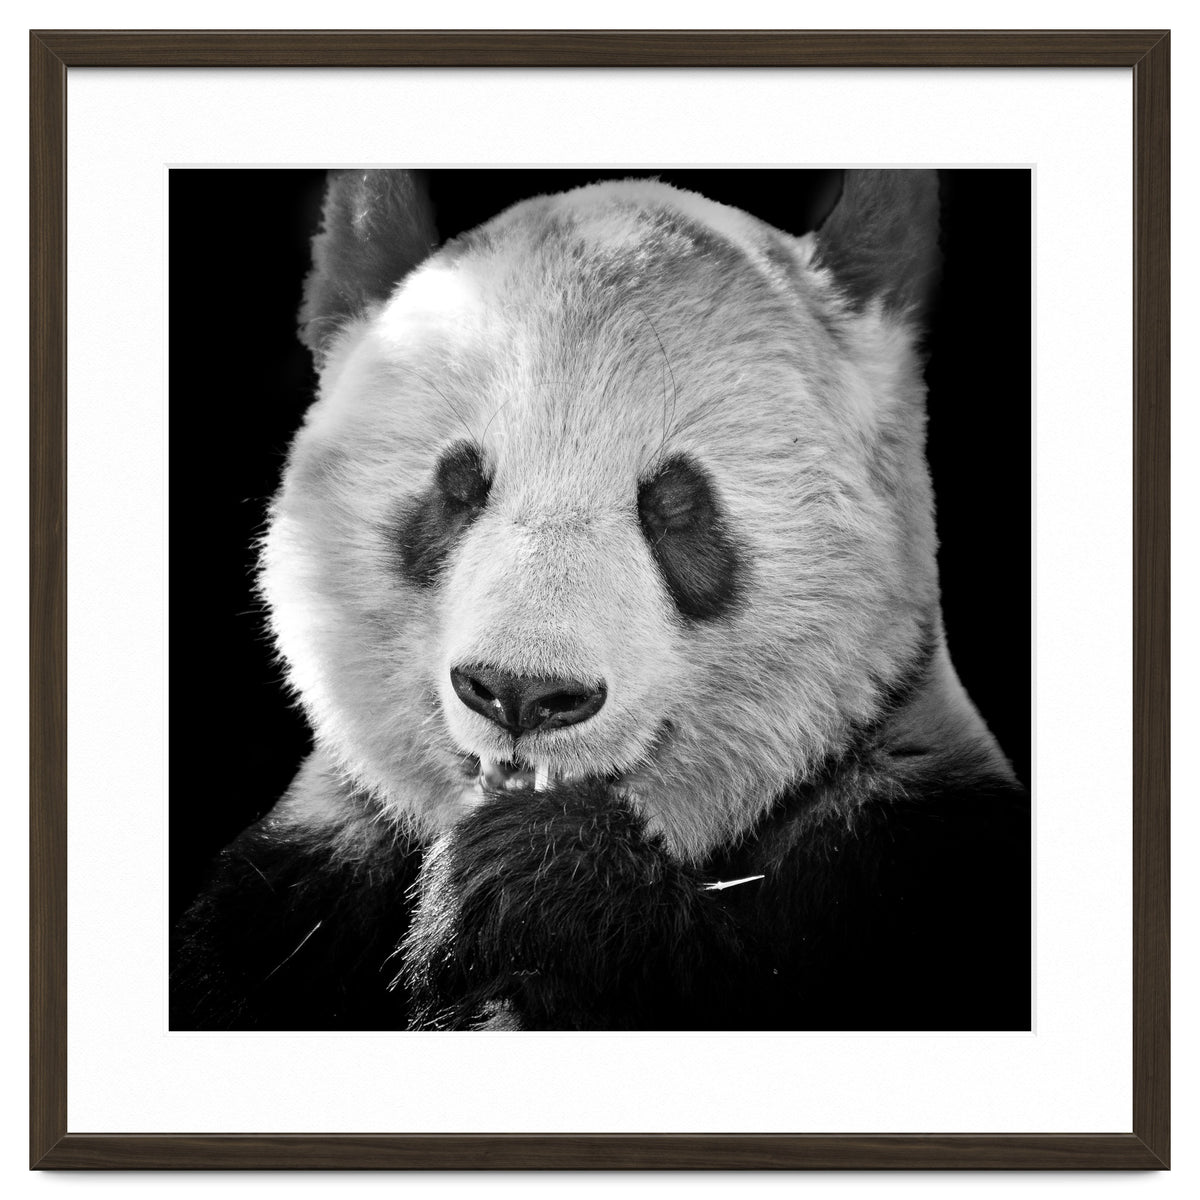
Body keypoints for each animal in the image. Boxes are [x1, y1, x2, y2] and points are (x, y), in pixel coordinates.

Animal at [171, 169, 1030, 1033]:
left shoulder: (905, 854)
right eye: (458, 487)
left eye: (676, 505)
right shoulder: (295, 889)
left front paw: (538, 878)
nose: (521, 692)